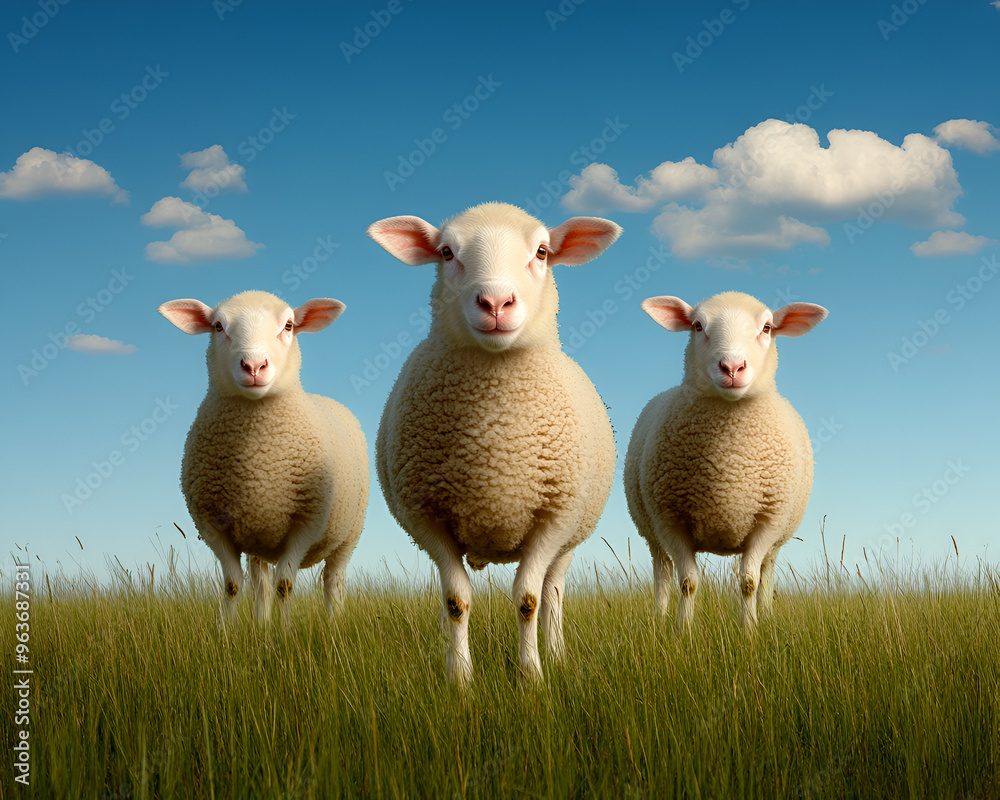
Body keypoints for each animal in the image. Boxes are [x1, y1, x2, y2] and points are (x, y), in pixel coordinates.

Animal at [158, 290, 368, 624]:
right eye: (218, 326)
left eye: (289, 325)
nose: (254, 365)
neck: (258, 460)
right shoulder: (211, 526)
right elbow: (233, 585)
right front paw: (225, 632)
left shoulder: (307, 522)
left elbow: (285, 585)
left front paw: (285, 632)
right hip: (259, 534)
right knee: (261, 584)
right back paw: (261, 625)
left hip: (349, 534)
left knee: (332, 581)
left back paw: (333, 623)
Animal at [367, 202, 621, 684]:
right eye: (446, 252)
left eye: (541, 252)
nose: (496, 303)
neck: (494, 438)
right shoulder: (427, 520)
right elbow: (456, 600)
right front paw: (460, 679)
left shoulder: (553, 518)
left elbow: (529, 600)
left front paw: (531, 675)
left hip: (570, 537)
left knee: (553, 590)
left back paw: (556, 653)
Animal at [623, 291, 827, 631]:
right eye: (697, 325)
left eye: (767, 327)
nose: (732, 367)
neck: (728, 465)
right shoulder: (669, 521)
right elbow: (687, 582)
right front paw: (682, 630)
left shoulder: (767, 521)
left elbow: (749, 582)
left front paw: (750, 630)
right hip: (649, 529)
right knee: (662, 573)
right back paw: (659, 617)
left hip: (778, 537)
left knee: (767, 573)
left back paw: (767, 615)